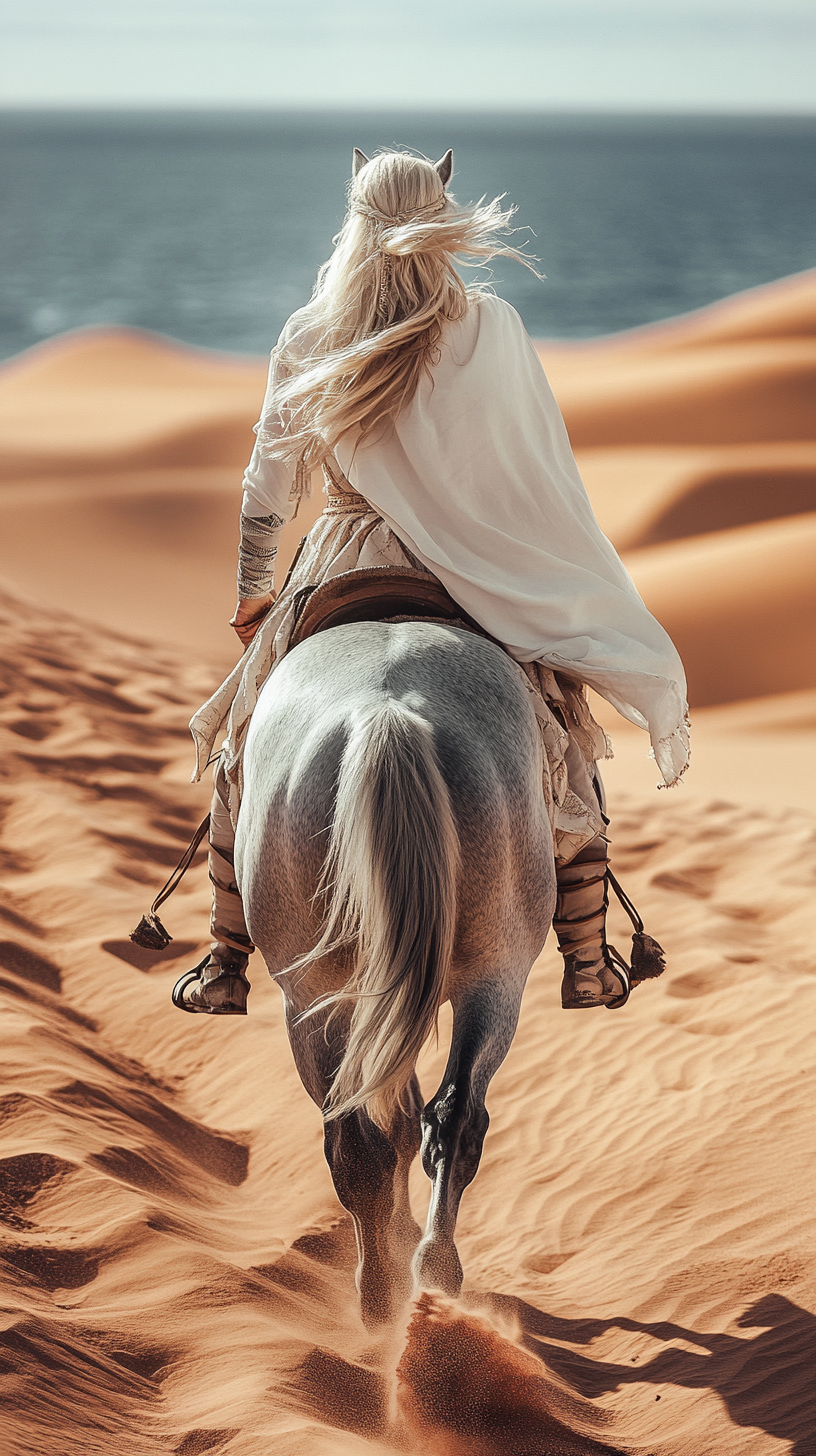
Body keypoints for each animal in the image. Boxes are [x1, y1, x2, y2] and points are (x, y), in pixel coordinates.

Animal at [236, 620, 553, 1327]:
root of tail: (385, 711)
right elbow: (405, 1118)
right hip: (492, 980)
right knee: (449, 1117)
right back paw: (427, 1274)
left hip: (320, 996)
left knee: (368, 1134)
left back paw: (386, 1292)